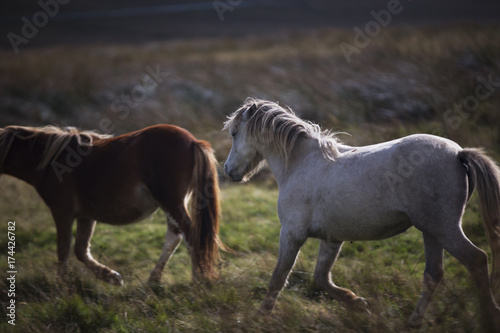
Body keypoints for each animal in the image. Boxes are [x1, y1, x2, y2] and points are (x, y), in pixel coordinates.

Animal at [0, 123, 223, 284]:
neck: (53, 160)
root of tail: (193, 141)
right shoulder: (85, 216)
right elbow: (80, 250)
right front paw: (111, 277)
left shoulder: (62, 212)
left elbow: (63, 250)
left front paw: (60, 287)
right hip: (172, 204)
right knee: (175, 237)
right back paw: (154, 279)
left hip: (171, 202)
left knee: (190, 234)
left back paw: (196, 280)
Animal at [224, 97, 500, 328]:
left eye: (235, 133)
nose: (228, 171)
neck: (299, 163)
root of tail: (458, 153)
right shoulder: (332, 238)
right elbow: (321, 278)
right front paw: (359, 305)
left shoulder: (291, 234)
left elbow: (278, 277)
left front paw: (260, 316)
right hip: (431, 231)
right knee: (434, 274)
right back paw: (413, 321)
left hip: (444, 229)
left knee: (476, 260)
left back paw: (489, 315)